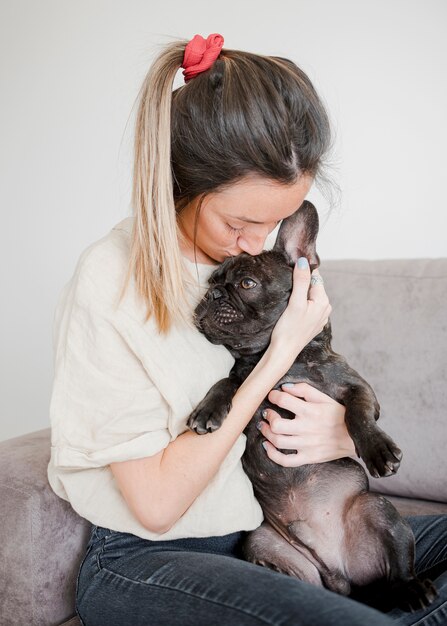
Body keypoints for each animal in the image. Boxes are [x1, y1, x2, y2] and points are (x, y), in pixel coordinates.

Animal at [187, 201, 440, 608]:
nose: (212, 296)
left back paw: (411, 588)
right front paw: (208, 410)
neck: (281, 362)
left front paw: (379, 450)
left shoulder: (358, 388)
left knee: (398, 567)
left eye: (246, 283)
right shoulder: (245, 380)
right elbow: (227, 382)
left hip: (378, 509)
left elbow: (357, 413)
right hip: (263, 541)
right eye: (210, 282)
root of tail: (338, 572)